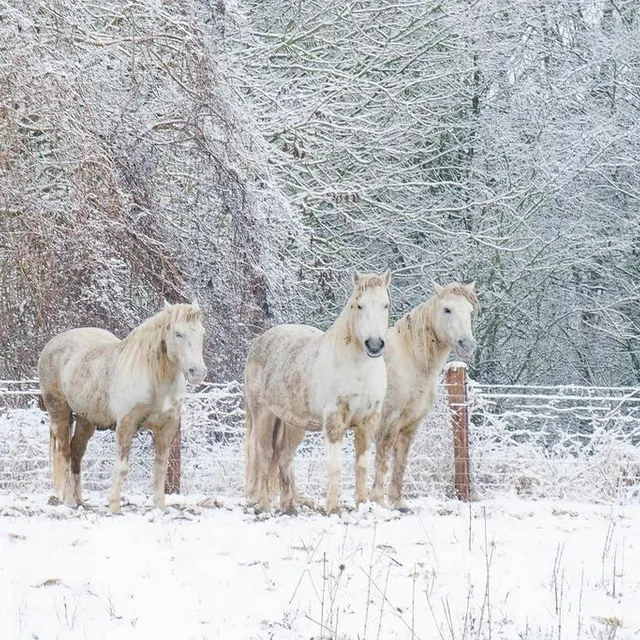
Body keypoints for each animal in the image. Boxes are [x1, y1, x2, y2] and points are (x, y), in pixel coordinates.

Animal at [37, 301, 207, 512]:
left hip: (86, 420)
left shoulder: (167, 427)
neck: (154, 378)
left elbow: (160, 467)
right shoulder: (126, 425)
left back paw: (80, 500)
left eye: (202, 333)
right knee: (65, 453)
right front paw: (114, 506)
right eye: (178, 333)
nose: (198, 372)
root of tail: (51, 345)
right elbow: (122, 467)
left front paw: (160, 508)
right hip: (59, 412)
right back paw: (69, 501)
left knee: (76, 452)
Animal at [244, 270, 391, 515]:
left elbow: (361, 464)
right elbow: (335, 465)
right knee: (263, 453)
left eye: (386, 305)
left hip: (293, 423)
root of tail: (259, 341)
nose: (374, 345)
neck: (358, 369)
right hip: (263, 414)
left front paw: (362, 505)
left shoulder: (369, 420)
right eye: (358, 305)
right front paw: (333, 508)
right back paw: (264, 505)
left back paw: (289, 506)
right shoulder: (334, 419)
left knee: (283, 457)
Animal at [370, 281, 478, 511]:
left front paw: (399, 502)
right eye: (447, 309)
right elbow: (383, 458)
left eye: (470, 311)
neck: (410, 362)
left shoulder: (411, 423)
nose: (467, 345)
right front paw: (378, 501)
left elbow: (401, 460)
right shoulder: (388, 420)